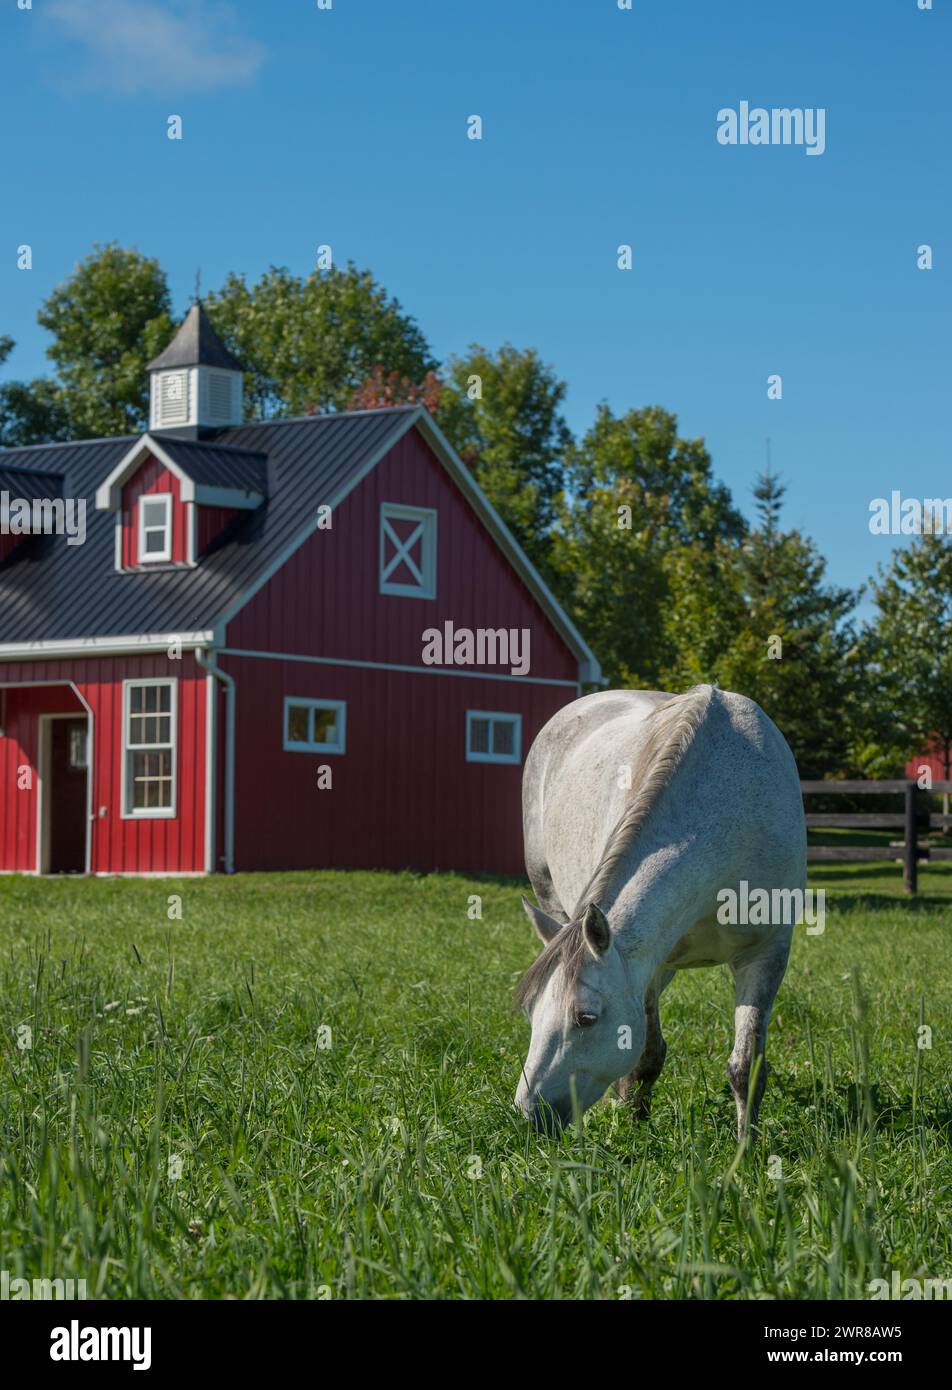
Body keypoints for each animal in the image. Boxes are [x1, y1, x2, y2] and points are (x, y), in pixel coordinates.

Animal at [514, 684, 806, 1138]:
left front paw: (747, 1145)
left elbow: (746, 1066)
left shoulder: (766, 953)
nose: (530, 1115)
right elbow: (646, 1056)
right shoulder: (647, 964)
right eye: (531, 1011)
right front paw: (634, 1128)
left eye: (585, 1018)